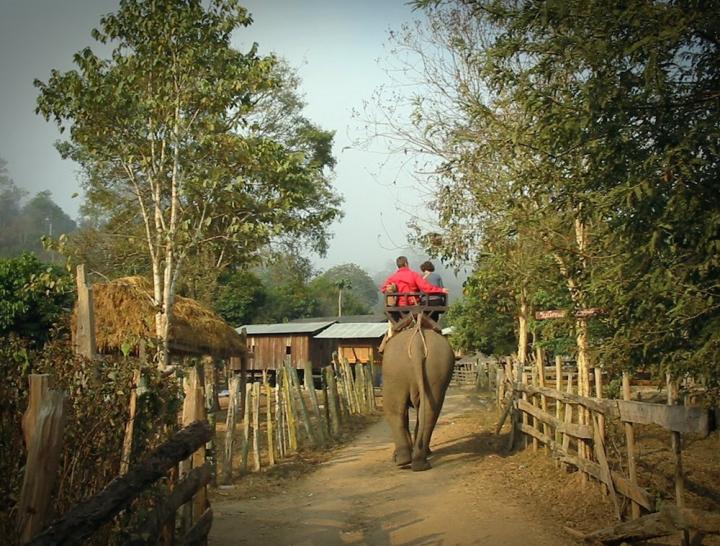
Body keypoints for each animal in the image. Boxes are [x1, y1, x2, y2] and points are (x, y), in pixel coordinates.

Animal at [382, 325, 455, 471]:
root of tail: (417, 345)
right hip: (433, 369)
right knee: (429, 411)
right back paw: (417, 462)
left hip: (394, 372)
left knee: (394, 410)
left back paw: (405, 460)